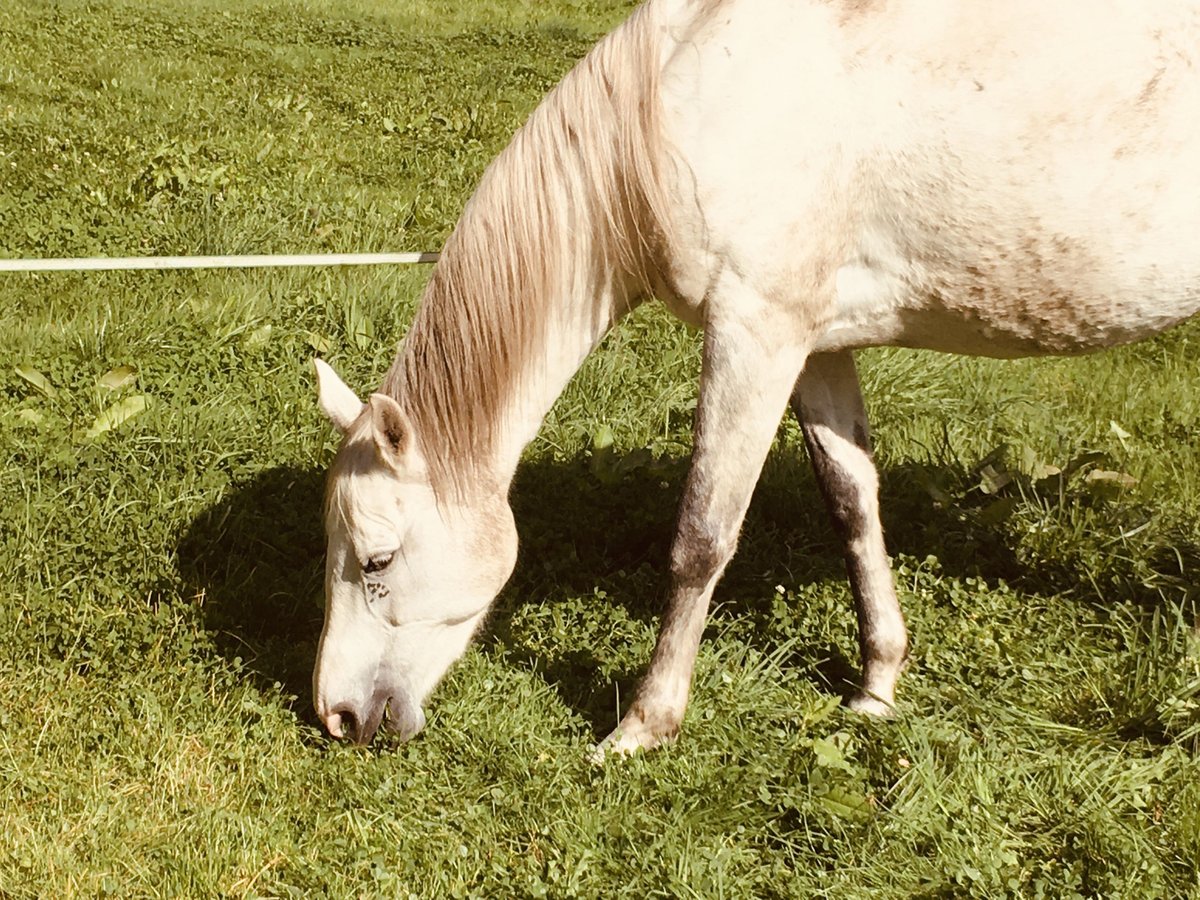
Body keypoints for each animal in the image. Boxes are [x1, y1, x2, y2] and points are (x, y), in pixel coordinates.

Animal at [312, 0, 1200, 758]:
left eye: (378, 561)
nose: (336, 714)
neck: (688, 100)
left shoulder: (754, 332)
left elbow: (702, 537)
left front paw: (644, 726)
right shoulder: (813, 342)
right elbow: (851, 501)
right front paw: (878, 685)